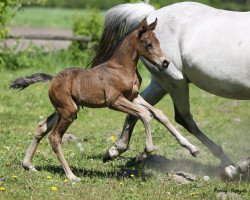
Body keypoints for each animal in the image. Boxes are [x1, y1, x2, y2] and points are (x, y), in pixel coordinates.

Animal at [10, 19, 199, 181]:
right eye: (148, 43)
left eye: (158, 41)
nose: (165, 62)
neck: (122, 68)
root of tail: (53, 79)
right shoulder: (114, 101)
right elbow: (145, 115)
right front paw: (143, 154)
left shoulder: (133, 97)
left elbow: (159, 114)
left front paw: (193, 149)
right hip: (69, 111)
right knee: (54, 137)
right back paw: (71, 176)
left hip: (64, 109)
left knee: (42, 127)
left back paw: (28, 165)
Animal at [92, 1, 250, 180]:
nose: (164, 61)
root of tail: (152, 14)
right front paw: (243, 165)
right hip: (174, 81)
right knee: (183, 118)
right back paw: (229, 166)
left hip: (160, 83)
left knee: (139, 111)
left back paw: (116, 150)